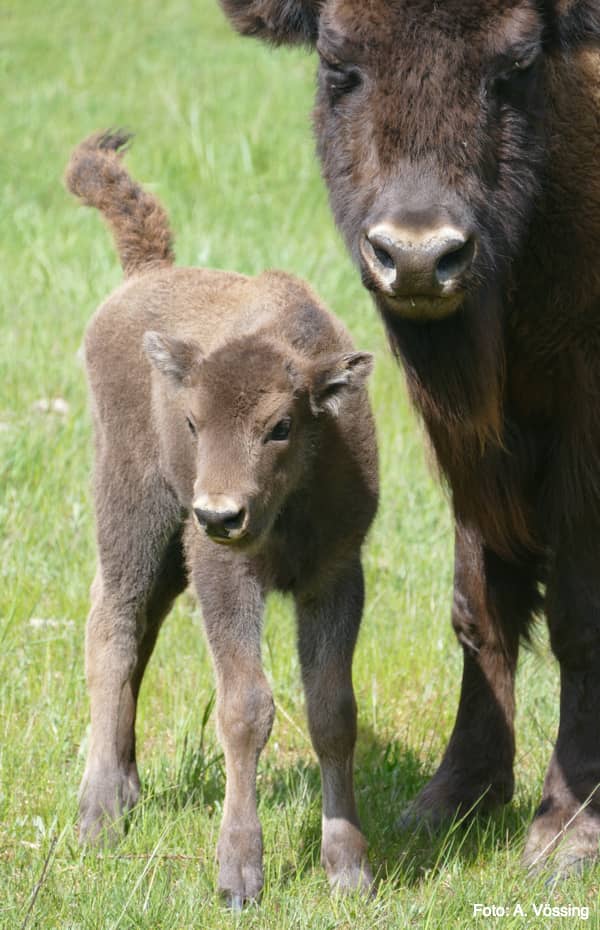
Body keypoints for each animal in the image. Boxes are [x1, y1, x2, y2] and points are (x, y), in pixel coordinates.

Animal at [68, 130, 378, 900]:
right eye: (192, 421)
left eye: (280, 426)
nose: (219, 514)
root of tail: (144, 275)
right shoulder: (223, 573)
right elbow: (245, 709)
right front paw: (239, 873)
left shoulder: (335, 575)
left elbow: (333, 710)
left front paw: (349, 866)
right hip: (134, 510)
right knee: (113, 627)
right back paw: (98, 816)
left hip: (170, 551)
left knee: (143, 629)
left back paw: (127, 791)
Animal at [220, 0, 600, 872]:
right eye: (338, 64)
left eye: (517, 66)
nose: (420, 257)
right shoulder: (472, 441)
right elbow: (478, 603)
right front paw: (455, 796)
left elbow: (577, 615)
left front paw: (567, 829)